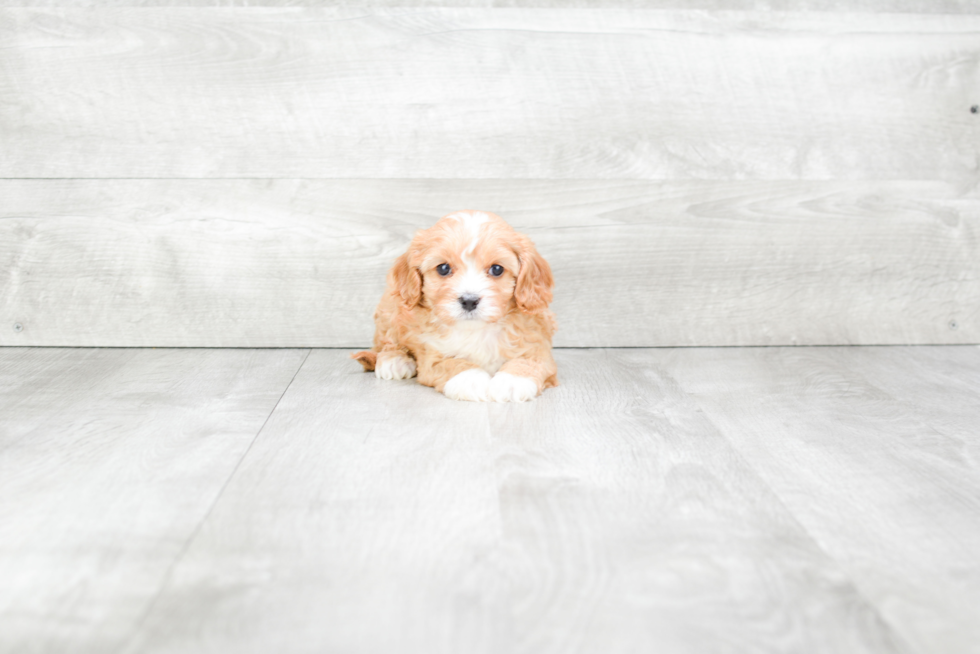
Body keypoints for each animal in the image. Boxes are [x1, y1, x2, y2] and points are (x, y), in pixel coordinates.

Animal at [352, 213, 556, 402]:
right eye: (443, 268)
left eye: (497, 269)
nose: (469, 301)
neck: (475, 329)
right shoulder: (431, 356)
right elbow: (452, 364)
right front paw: (471, 380)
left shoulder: (537, 344)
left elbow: (529, 361)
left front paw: (512, 381)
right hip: (391, 308)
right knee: (386, 341)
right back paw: (394, 361)